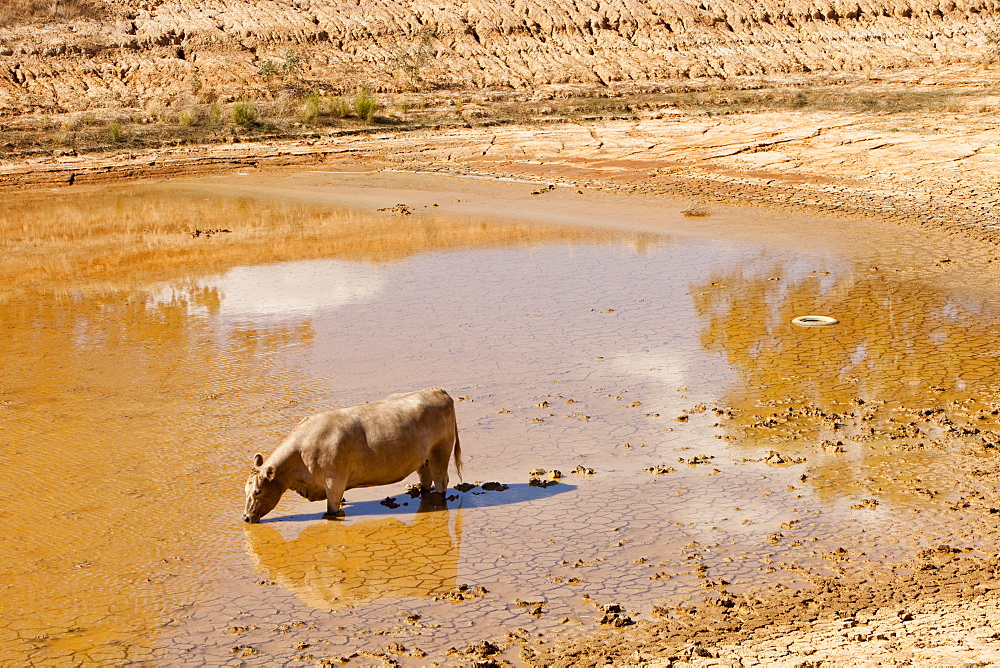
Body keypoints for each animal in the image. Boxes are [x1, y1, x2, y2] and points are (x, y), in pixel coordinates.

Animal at [244, 388, 462, 524]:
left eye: (258, 491)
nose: (245, 517)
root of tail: (437, 391)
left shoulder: (335, 481)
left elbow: (332, 509)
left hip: (440, 452)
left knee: (441, 481)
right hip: (423, 459)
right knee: (426, 479)